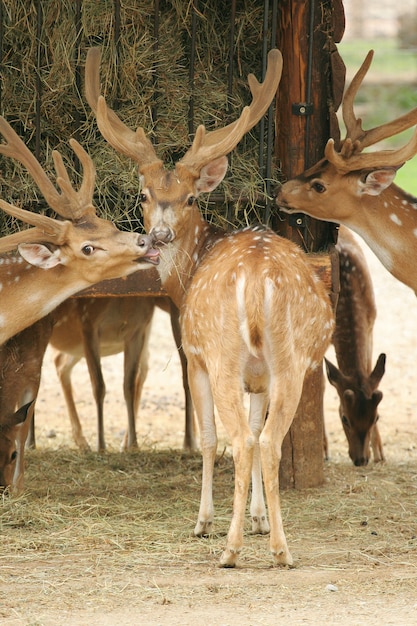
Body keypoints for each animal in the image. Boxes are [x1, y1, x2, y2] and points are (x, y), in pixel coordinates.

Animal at [84, 47, 334, 564]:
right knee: (269, 440)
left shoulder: (192, 355)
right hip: (291, 360)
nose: (158, 236)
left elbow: (210, 437)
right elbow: (257, 433)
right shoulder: (259, 378)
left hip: (221, 353)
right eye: (145, 194)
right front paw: (259, 519)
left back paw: (229, 549)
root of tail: (258, 281)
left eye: (189, 197)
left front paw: (204, 521)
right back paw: (281, 549)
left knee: (235, 439)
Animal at [324, 224, 386, 464]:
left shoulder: (371, 325)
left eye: (376, 417)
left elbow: (370, 370)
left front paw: (380, 452)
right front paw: (323, 449)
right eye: (344, 418)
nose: (361, 460)